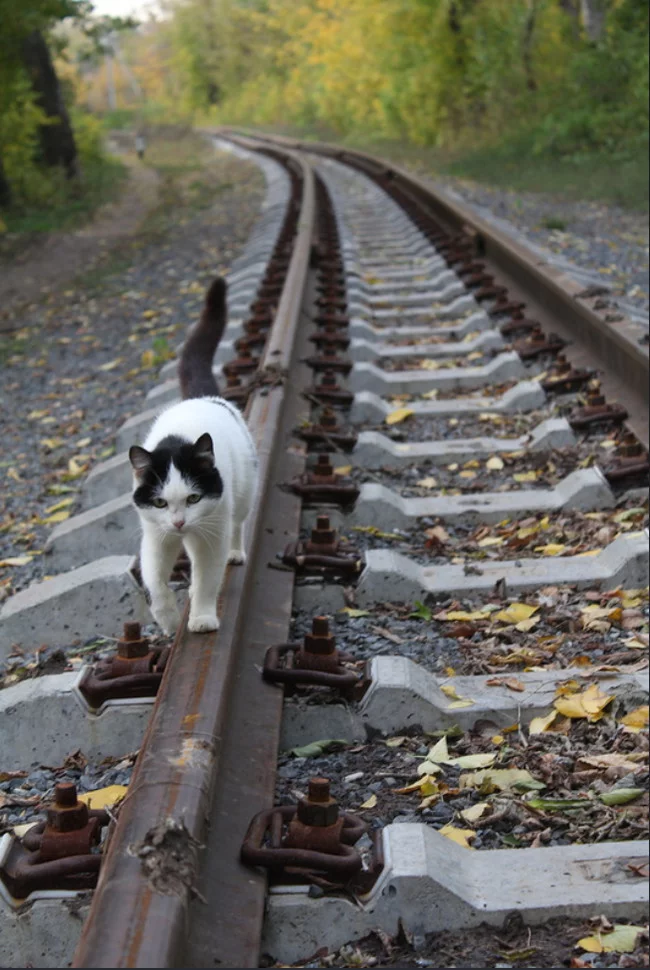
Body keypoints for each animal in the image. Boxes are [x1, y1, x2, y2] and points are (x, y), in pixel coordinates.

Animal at [128, 274, 256, 636]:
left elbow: (207, 578)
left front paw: (200, 618)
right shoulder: (155, 536)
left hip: (241, 496)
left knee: (238, 524)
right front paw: (169, 620)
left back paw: (236, 553)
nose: (179, 522)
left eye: (194, 498)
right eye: (160, 502)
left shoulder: (211, 533)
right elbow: (155, 583)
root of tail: (200, 398)